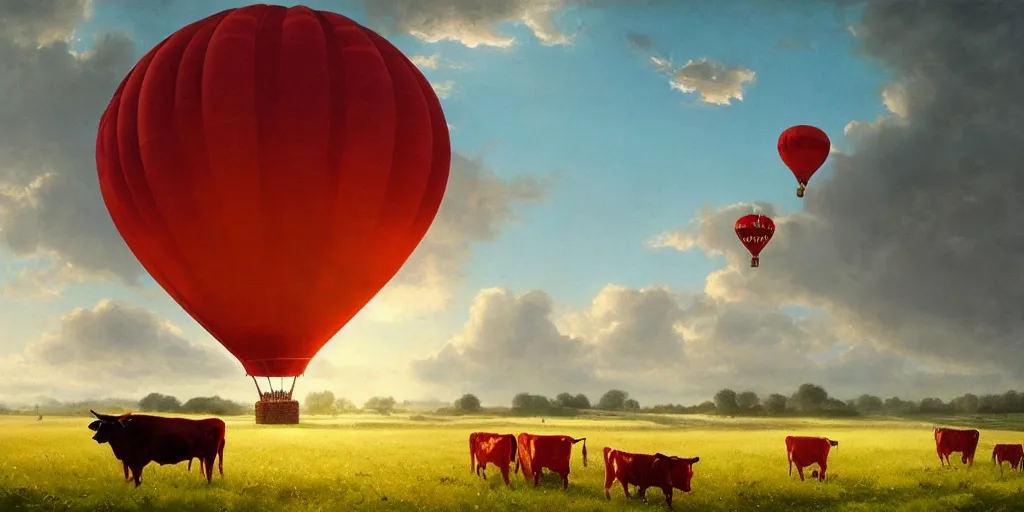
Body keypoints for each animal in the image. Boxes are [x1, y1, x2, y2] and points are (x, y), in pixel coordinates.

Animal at [87, 407, 226, 487]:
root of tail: (218, 421)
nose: (96, 437)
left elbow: (136, 477)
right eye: (101, 425)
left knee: (209, 473)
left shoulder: (136, 460)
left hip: (210, 456)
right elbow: (134, 476)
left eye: (110, 426)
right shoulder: (131, 461)